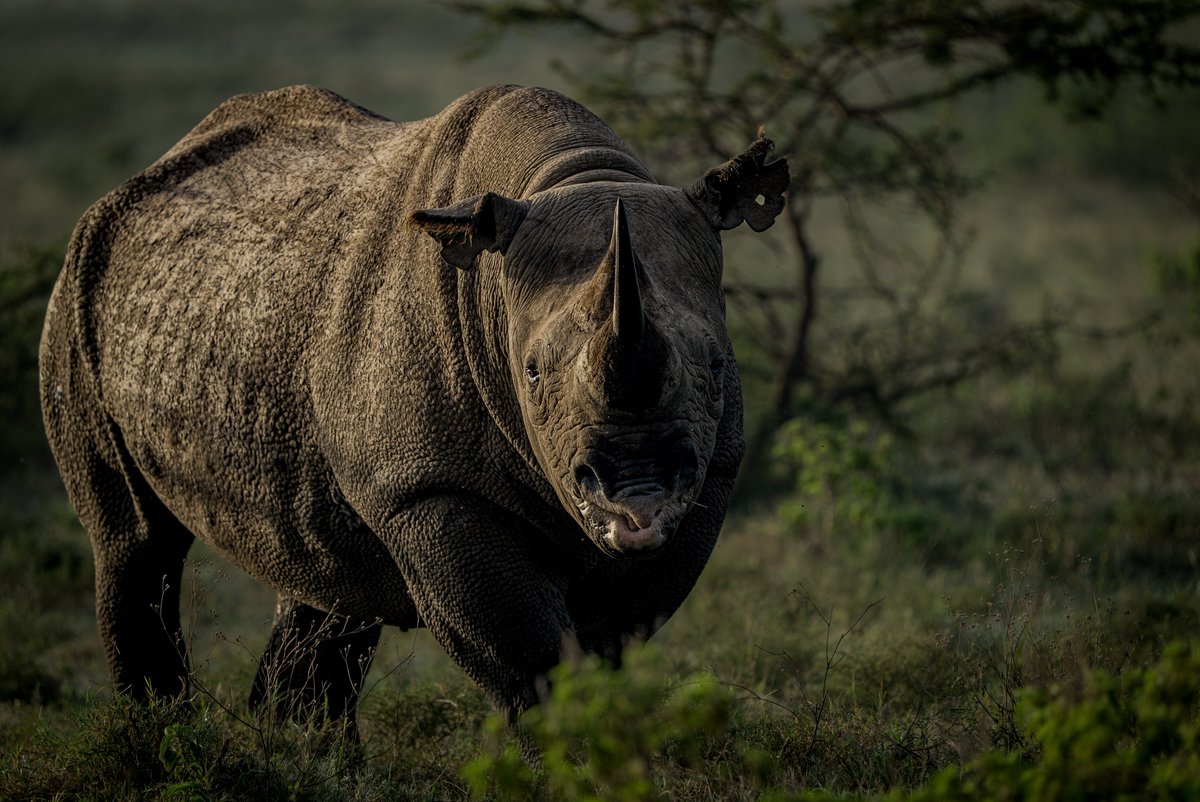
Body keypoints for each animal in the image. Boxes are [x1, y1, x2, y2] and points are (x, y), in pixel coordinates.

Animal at [39, 84, 787, 730]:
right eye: (532, 373)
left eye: (717, 366)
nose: (635, 488)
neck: (567, 177)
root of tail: (142, 177)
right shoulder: (428, 488)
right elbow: (529, 662)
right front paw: (569, 751)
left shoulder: (712, 477)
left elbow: (609, 640)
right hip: (78, 285)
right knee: (136, 544)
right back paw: (164, 740)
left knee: (327, 582)